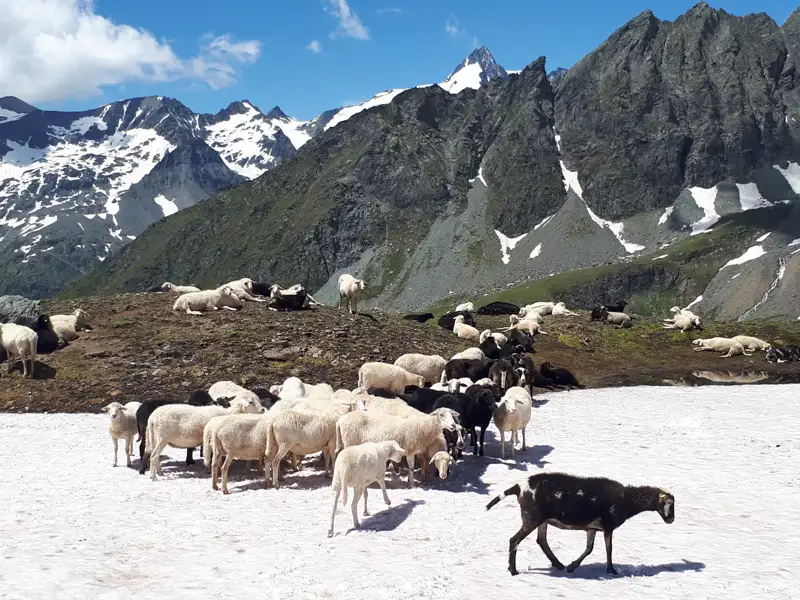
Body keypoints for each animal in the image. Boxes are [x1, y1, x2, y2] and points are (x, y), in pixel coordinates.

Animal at [485, 472, 675, 576]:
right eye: (668, 503)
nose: (671, 520)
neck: (626, 500)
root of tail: (519, 487)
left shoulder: (593, 528)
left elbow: (589, 549)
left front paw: (572, 567)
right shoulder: (608, 526)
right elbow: (609, 549)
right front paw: (611, 571)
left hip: (541, 520)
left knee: (542, 541)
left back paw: (558, 565)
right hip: (531, 518)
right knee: (514, 540)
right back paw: (513, 570)